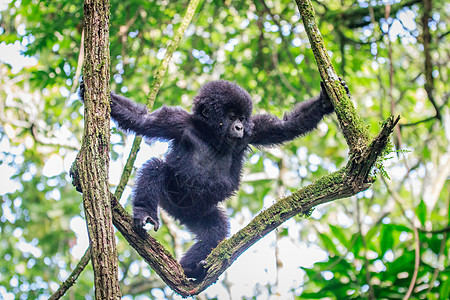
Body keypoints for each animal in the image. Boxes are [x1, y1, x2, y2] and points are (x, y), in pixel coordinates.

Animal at [79, 79, 346, 278]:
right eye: (230, 115)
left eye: (241, 118)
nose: (238, 127)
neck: (210, 135)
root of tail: (179, 212)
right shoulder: (176, 122)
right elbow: (143, 120)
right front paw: (98, 95)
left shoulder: (253, 131)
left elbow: (286, 126)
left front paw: (324, 101)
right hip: (170, 197)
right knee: (156, 168)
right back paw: (145, 212)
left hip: (199, 212)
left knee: (215, 229)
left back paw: (191, 268)